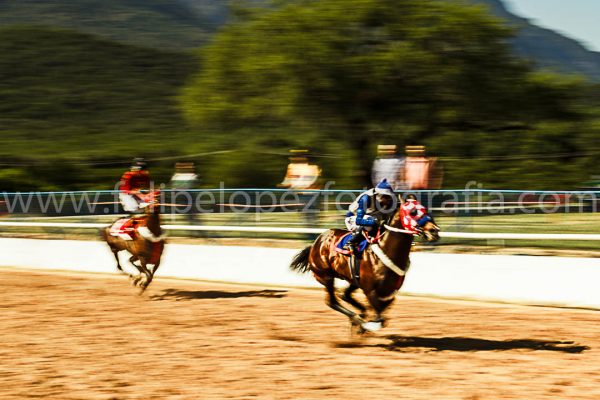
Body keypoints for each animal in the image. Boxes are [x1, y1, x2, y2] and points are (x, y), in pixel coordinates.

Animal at [288, 205, 438, 332]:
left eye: (424, 208)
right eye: (413, 212)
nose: (434, 230)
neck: (386, 250)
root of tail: (315, 243)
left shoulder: (389, 292)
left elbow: (384, 310)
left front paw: (363, 321)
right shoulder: (370, 290)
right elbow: (380, 319)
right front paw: (365, 325)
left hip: (353, 280)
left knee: (345, 295)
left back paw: (359, 316)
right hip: (326, 276)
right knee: (332, 301)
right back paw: (357, 318)